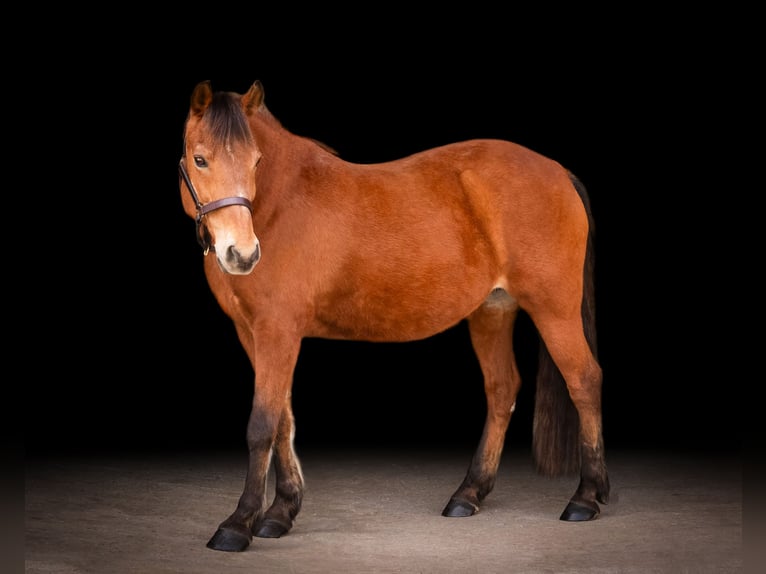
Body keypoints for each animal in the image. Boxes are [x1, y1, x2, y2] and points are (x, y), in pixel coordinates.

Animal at [178, 80, 610, 552]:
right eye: (200, 159)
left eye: (256, 161)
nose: (241, 254)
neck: (278, 205)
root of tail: (558, 172)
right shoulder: (252, 333)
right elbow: (282, 420)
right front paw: (281, 513)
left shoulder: (278, 332)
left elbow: (262, 424)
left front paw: (238, 525)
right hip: (493, 311)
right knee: (501, 389)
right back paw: (469, 494)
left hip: (555, 310)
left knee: (584, 381)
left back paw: (585, 498)